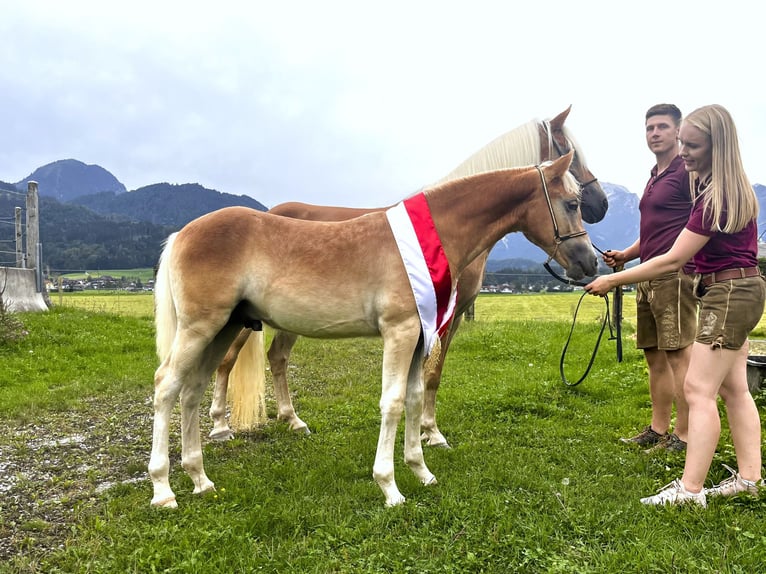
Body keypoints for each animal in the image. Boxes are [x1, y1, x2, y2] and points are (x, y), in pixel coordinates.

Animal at [150, 152, 600, 508]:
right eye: (571, 202)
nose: (589, 263)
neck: (432, 239)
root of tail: (182, 233)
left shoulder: (421, 337)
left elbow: (415, 398)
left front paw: (421, 471)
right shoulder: (400, 333)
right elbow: (394, 402)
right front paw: (389, 487)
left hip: (224, 327)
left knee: (192, 390)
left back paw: (200, 479)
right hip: (202, 326)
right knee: (167, 385)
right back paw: (164, 489)